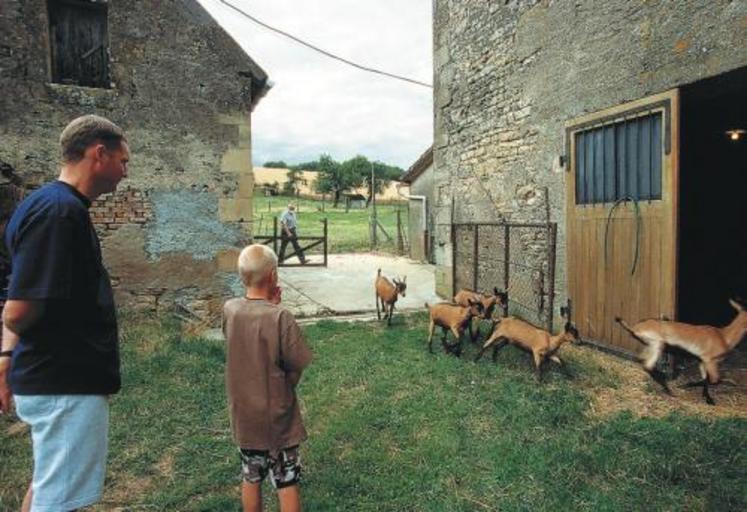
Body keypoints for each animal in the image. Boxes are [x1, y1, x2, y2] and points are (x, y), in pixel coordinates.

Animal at [612, 298, 747, 406]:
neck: (723, 336)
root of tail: (635, 328)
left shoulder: (702, 361)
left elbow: (706, 379)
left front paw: (707, 398)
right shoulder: (709, 361)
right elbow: (714, 380)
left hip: (651, 345)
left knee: (643, 361)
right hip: (658, 344)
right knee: (648, 365)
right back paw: (670, 390)